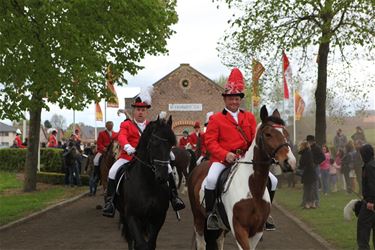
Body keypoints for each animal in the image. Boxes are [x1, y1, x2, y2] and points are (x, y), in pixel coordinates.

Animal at [117, 116, 177, 249]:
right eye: (154, 142)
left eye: (171, 144)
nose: (162, 177)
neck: (148, 183)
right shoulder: (132, 216)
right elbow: (140, 244)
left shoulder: (158, 217)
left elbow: (151, 244)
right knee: (130, 240)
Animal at [188, 106, 296, 250]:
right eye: (268, 134)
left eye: (286, 133)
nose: (290, 162)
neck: (253, 190)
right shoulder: (239, 228)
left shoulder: (257, 231)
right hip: (198, 217)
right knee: (201, 242)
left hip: (222, 225)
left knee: (219, 240)